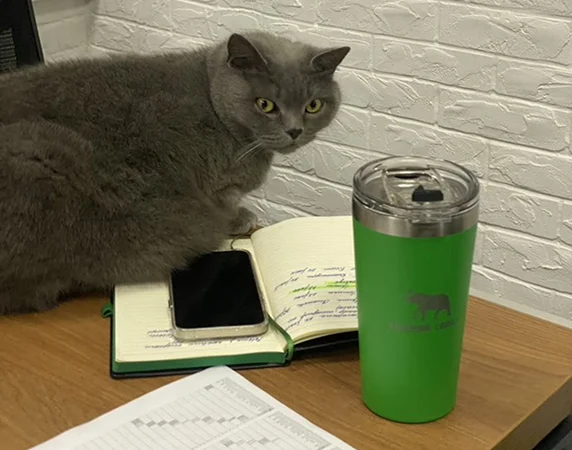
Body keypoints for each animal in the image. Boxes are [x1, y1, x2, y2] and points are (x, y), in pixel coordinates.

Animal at [0, 31, 350, 315]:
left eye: (314, 105)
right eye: (265, 104)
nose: (295, 130)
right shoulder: (215, 185)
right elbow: (224, 205)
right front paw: (240, 219)